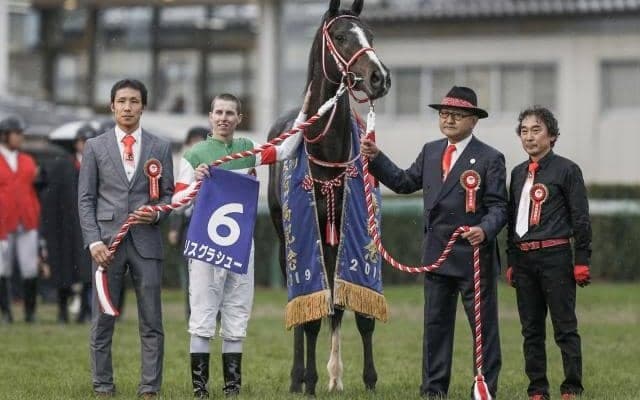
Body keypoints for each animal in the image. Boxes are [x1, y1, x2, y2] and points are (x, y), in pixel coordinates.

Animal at [267, 0, 391, 396]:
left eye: (371, 34)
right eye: (339, 36)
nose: (379, 77)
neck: (327, 150)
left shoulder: (360, 237)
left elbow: (359, 312)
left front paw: (369, 379)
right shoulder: (309, 237)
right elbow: (311, 317)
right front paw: (308, 380)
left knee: (336, 305)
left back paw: (336, 375)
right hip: (286, 241)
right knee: (302, 305)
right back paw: (298, 377)